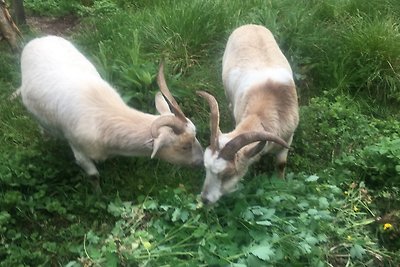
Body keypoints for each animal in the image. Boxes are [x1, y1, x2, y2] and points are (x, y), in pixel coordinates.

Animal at [19, 35, 203, 184]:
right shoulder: (78, 149)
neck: (103, 118)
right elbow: (94, 176)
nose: (201, 161)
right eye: (185, 146)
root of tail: (38, 39)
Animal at [198, 25, 298, 205]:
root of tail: (250, 25)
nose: (205, 199)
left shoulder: (288, 139)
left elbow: (281, 164)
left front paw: (280, 184)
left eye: (228, 174)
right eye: (206, 168)